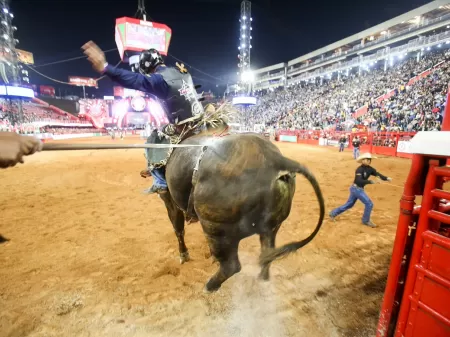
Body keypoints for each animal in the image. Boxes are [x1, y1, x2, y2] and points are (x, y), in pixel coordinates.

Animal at [153, 117, 326, 290]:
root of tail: (276, 160)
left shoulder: (169, 200)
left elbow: (178, 229)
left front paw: (184, 255)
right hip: (271, 227)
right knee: (267, 254)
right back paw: (261, 279)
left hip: (215, 228)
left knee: (231, 266)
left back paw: (210, 286)